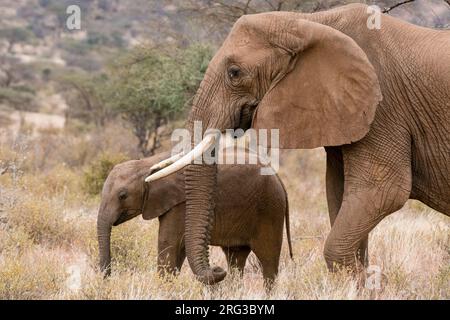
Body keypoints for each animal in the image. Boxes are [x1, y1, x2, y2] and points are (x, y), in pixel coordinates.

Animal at [97, 151, 292, 284]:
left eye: (122, 195)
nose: (108, 277)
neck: (147, 164)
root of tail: (279, 180)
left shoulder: (181, 204)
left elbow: (168, 242)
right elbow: (178, 247)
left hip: (270, 210)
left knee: (268, 261)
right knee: (236, 259)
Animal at [146, 4, 448, 284]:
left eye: (234, 72)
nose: (218, 271)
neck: (308, 23)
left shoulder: (383, 109)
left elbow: (384, 190)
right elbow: (339, 193)